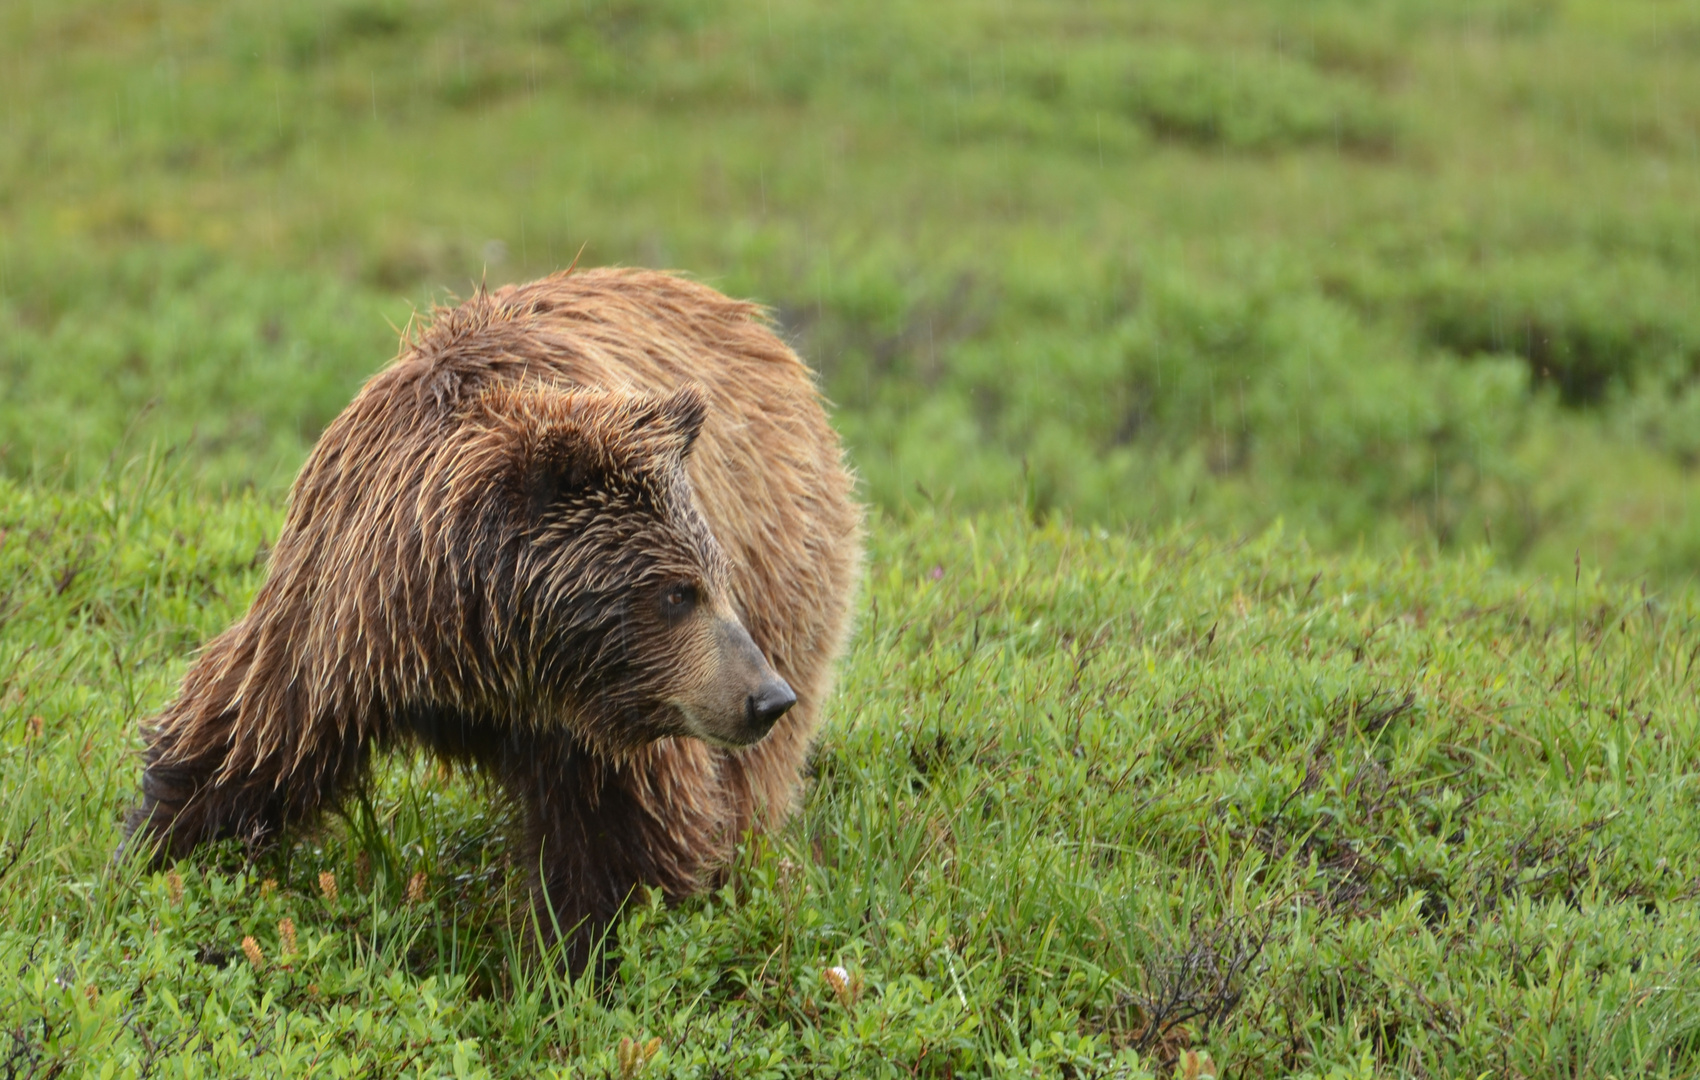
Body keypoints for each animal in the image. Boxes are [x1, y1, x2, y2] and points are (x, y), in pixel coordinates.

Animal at [124, 267, 863, 966]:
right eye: (677, 592)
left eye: (713, 580)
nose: (766, 699)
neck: (485, 656)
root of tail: (762, 332)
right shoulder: (337, 623)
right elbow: (242, 743)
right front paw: (158, 856)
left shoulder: (600, 727)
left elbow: (619, 841)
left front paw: (574, 961)